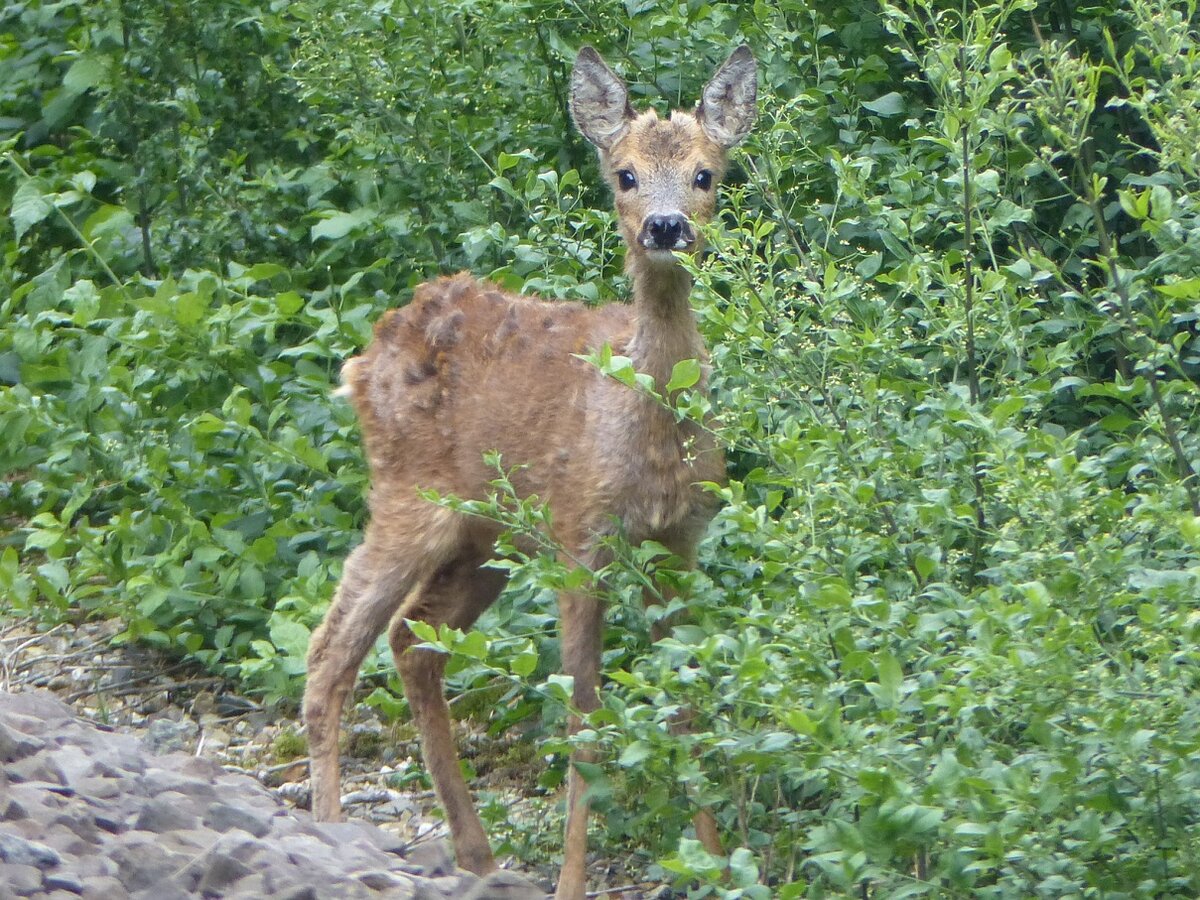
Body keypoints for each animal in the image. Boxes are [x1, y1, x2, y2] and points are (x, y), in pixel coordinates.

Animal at [307, 44, 758, 900]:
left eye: (706, 173)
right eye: (624, 173)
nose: (666, 226)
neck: (645, 432)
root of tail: (368, 352)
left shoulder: (677, 544)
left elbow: (687, 701)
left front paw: (718, 866)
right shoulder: (581, 541)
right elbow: (583, 717)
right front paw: (573, 881)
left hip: (485, 537)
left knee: (413, 640)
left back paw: (477, 852)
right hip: (408, 500)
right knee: (333, 647)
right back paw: (328, 829)